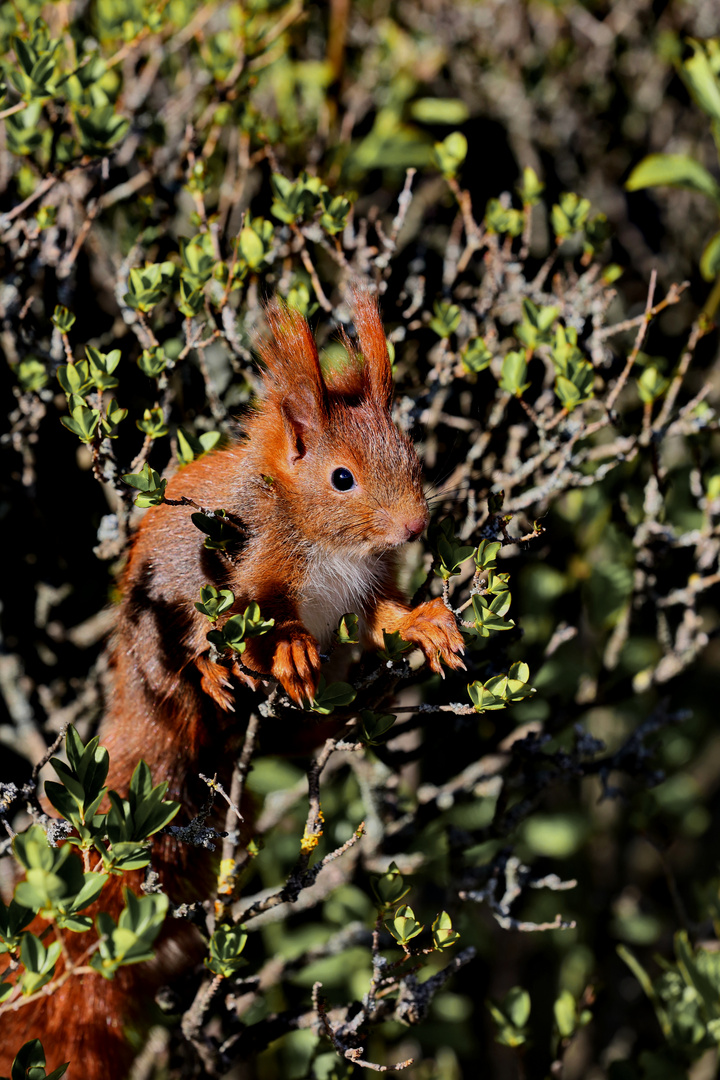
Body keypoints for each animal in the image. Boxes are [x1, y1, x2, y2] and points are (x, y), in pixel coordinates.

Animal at [0, 291, 462, 1075]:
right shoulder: (248, 566)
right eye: (342, 478)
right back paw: (220, 676)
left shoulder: (365, 588)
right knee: (188, 646)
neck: (325, 541)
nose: (412, 528)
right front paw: (290, 653)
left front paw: (426, 623)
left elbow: (382, 620)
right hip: (157, 626)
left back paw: (342, 717)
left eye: (412, 459)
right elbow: (260, 616)